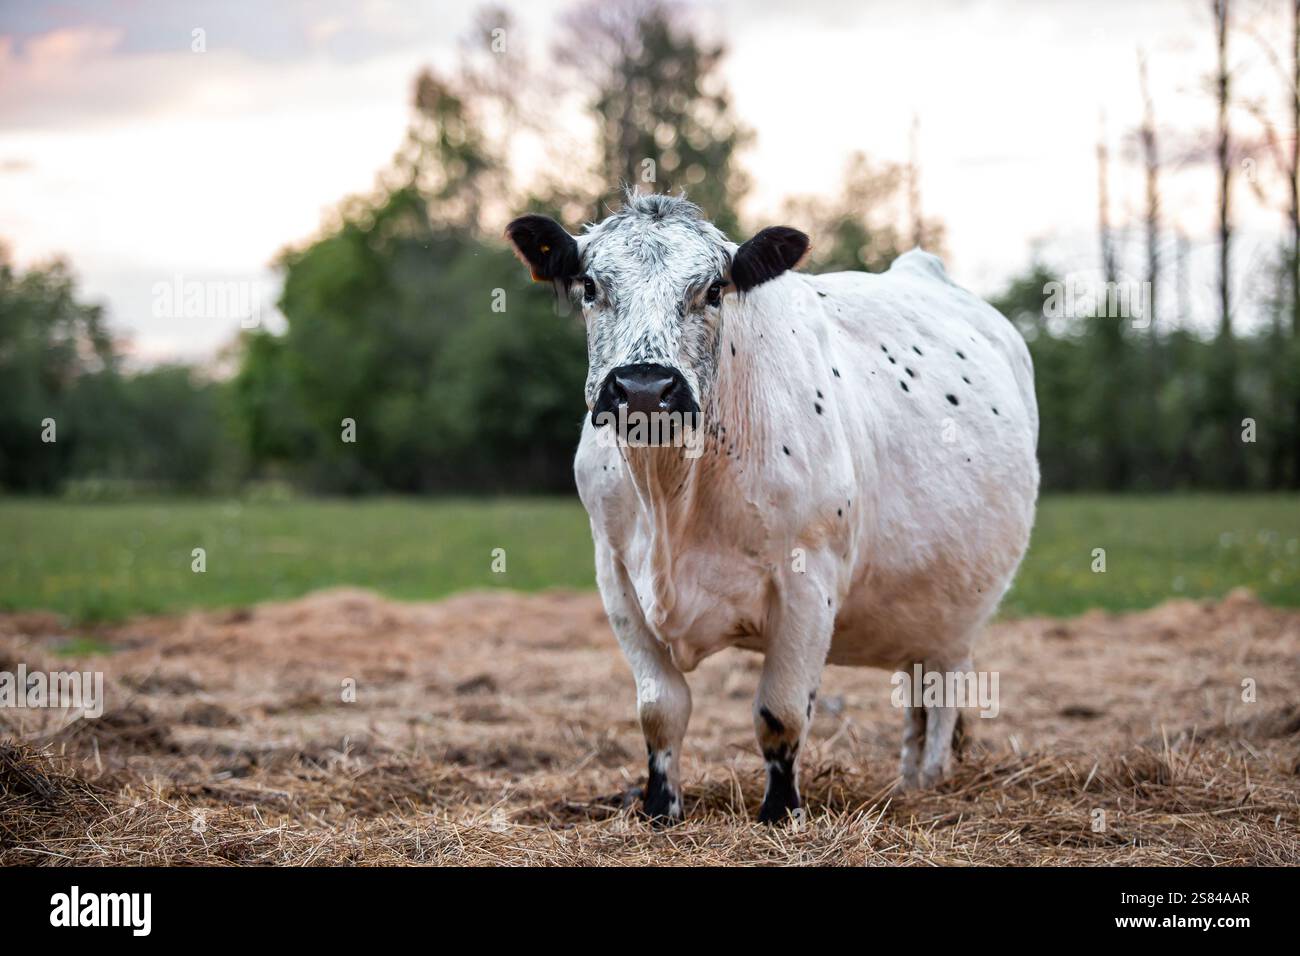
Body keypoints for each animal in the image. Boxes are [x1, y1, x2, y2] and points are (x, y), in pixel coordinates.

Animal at [506, 191, 1039, 824]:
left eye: (714, 289)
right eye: (589, 285)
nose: (644, 388)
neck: (672, 498)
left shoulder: (809, 580)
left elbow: (779, 713)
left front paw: (781, 812)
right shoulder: (615, 575)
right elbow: (661, 709)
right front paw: (660, 808)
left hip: (958, 621)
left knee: (941, 701)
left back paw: (929, 783)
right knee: (917, 699)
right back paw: (908, 783)